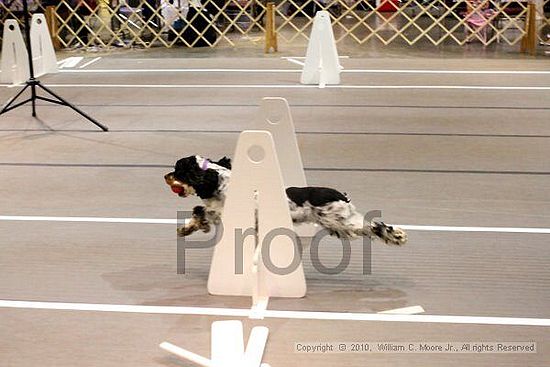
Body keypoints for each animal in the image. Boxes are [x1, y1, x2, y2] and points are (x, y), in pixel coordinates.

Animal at [164, 155, 406, 247]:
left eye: (179, 170)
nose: (165, 176)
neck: (220, 182)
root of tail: (339, 195)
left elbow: (201, 210)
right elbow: (201, 211)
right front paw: (187, 229)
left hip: (338, 221)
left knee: (373, 225)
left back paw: (398, 235)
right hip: (338, 226)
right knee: (367, 227)